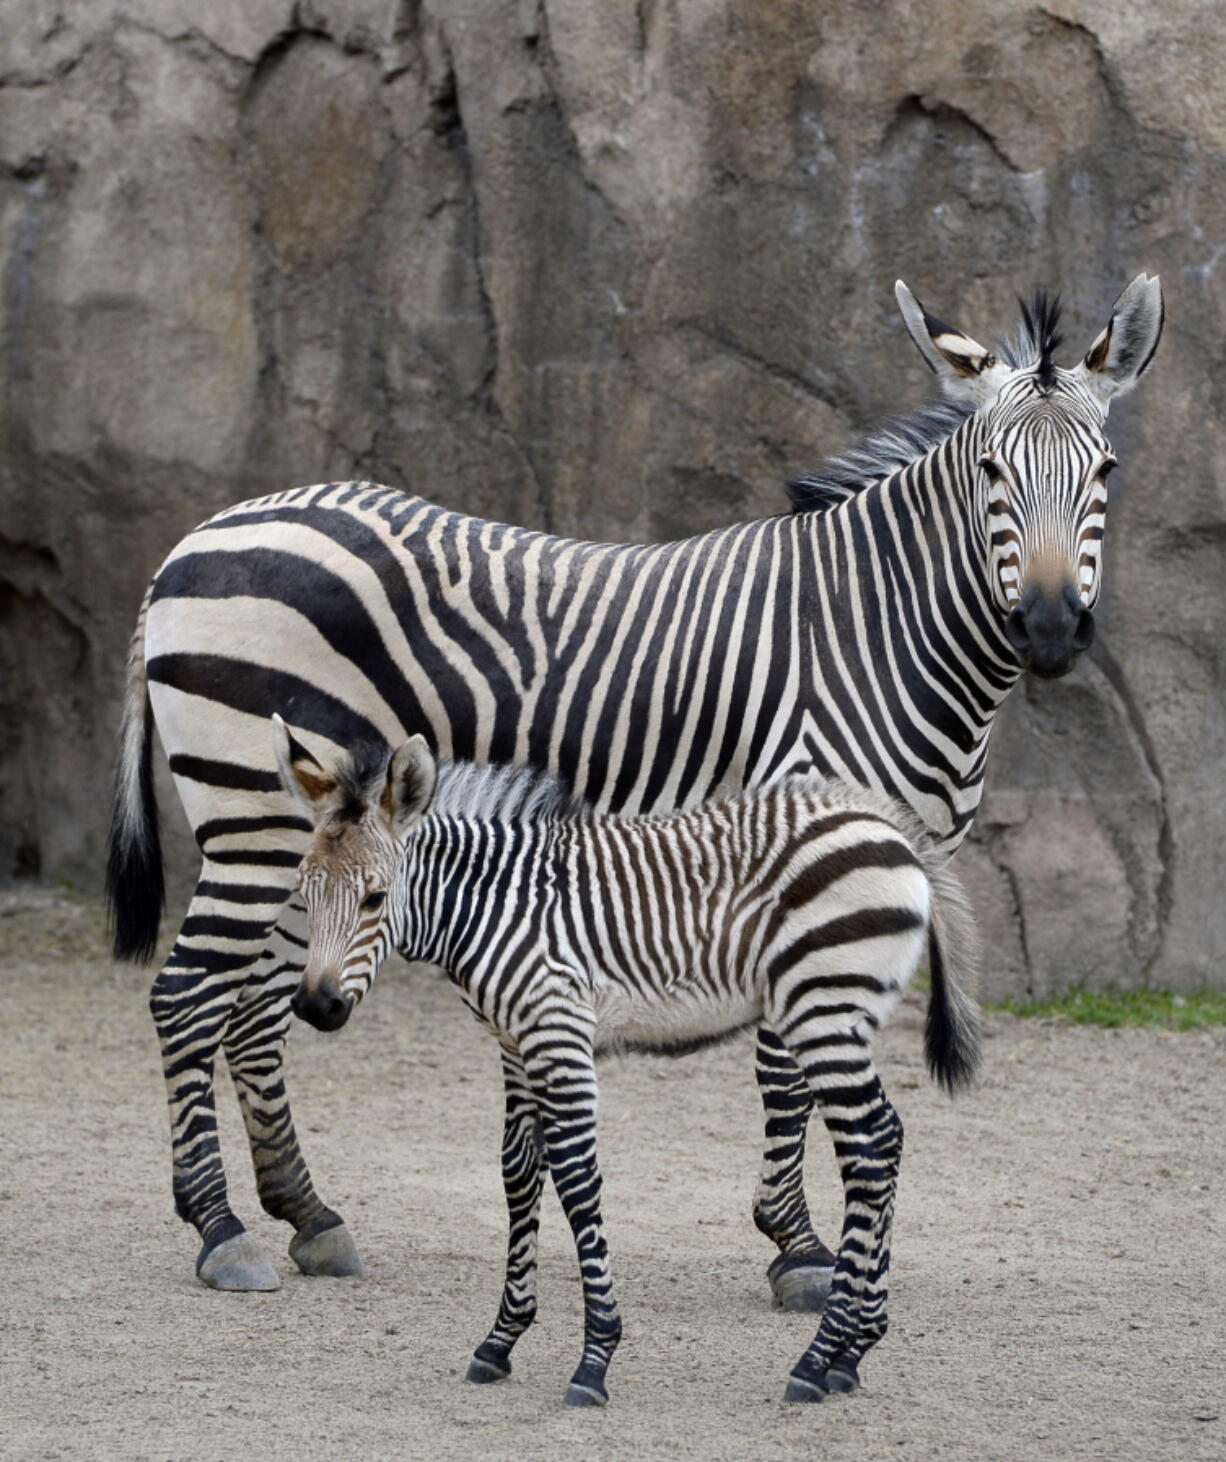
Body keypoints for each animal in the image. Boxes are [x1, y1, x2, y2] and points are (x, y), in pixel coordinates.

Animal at [108, 271, 1163, 1292]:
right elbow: (785, 1062)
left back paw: (308, 1215)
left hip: (314, 824)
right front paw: (800, 1249)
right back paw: (220, 1231)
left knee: (258, 1008)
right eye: (991, 473)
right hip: (254, 819)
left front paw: (805, 1239)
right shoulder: (799, 834)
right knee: (189, 996)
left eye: (1106, 472)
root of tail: (193, 541)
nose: (1052, 629)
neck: (878, 627)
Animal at [273, 719, 981, 1403]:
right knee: (886, 1139)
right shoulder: (514, 1043)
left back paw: (818, 1358)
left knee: (869, 1149)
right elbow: (517, 1174)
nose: (316, 1006)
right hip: (842, 1017)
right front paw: (501, 1340)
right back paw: (853, 1351)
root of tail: (885, 824)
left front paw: (594, 1360)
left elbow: (577, 1180)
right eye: (304, 893)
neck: (491, 906)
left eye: (374, 897)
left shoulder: (558, 1033)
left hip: (823, 1010)